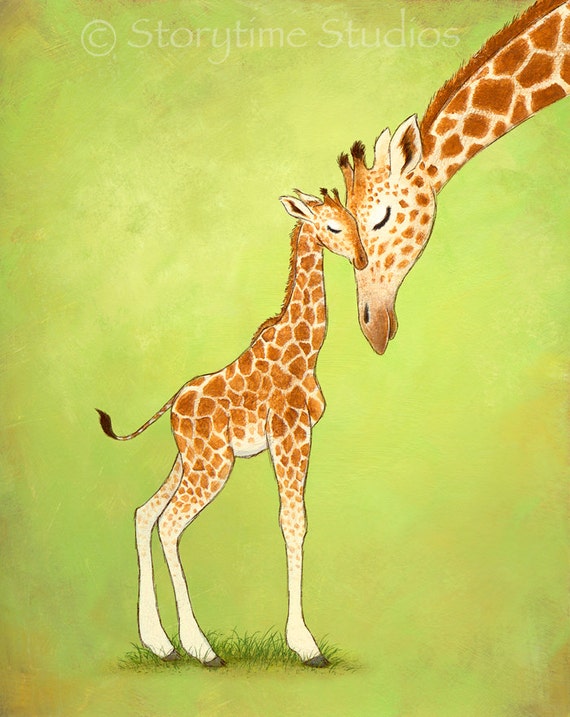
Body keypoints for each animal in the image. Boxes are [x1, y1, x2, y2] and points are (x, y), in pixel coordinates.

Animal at [97, 189, 367, 667]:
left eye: (355, 221)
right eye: (333, 227)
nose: (361, 258)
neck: (306, 349)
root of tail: (173, 404)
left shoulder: (294, 435)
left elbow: (293, 521)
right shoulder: (291, 432)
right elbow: (293, 522)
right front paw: (305, 644)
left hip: (189, 459)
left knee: (145, 513)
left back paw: (161, 643)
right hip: (212, 464)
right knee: (169, 523)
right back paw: (201, 648)